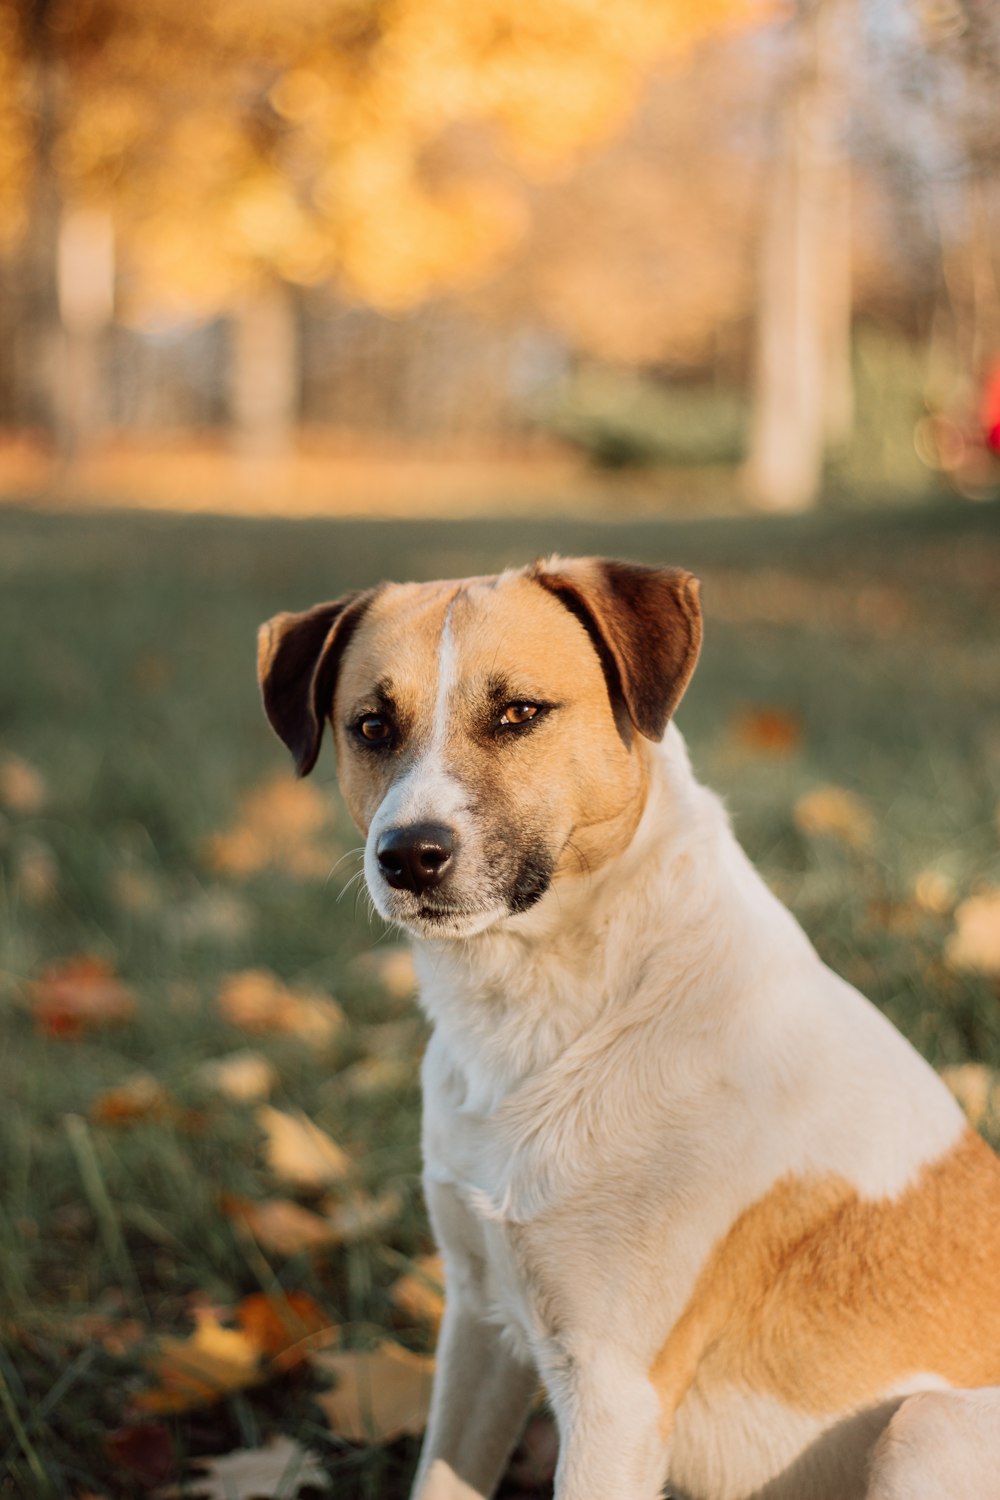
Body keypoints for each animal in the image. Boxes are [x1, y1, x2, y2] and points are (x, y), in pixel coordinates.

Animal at [256, 558, 1000, 1494]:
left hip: (922, 1426)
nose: (408, 857)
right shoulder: (477, 1321)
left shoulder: (614, 1390)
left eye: (518, 712)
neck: (547, 1012)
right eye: (372, 726)